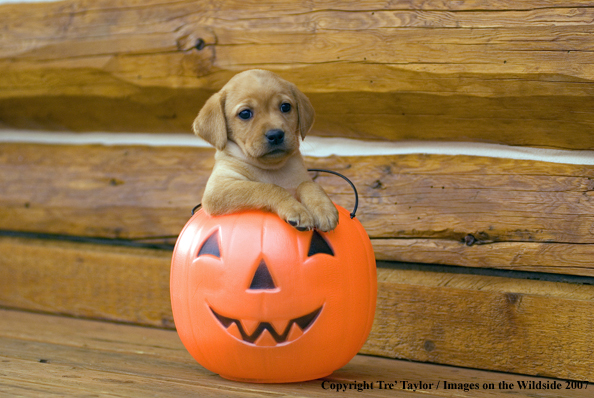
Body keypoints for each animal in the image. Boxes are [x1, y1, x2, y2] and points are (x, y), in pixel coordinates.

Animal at [193, 69, 338, 232]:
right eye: (245, 113)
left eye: (285, 107)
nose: (275, 135)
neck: (271, 169)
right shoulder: (218, 188)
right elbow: (266, 187)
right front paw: (295, 209)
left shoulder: (301, 177)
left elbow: (309, 185)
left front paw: (324, 208)